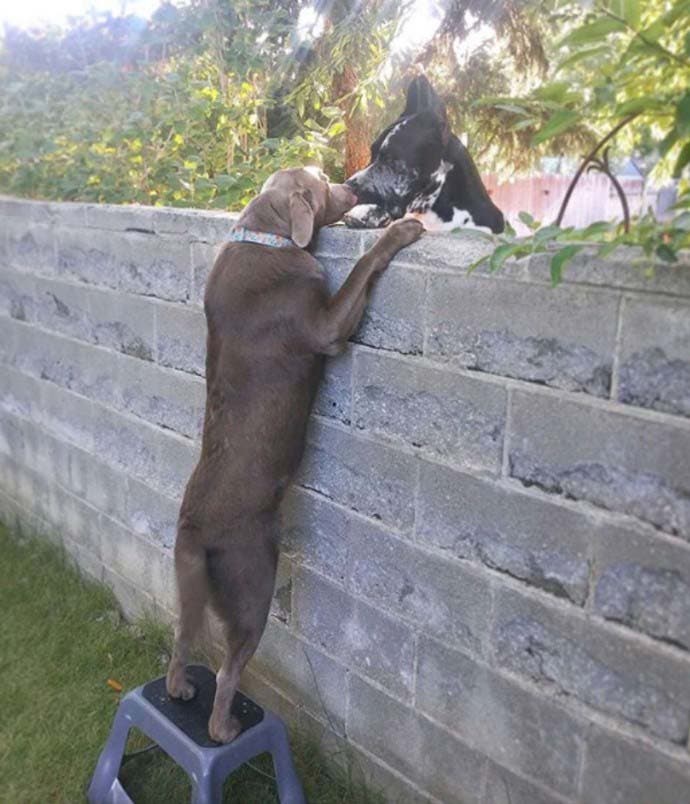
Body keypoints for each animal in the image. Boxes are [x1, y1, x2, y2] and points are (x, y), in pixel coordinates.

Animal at [166, 166, 422, 744]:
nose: (353, 186)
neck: (265, 232)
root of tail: (193, 528)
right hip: (253, 581)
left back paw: (180, 689)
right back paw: (223, 729)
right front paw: (400, 230)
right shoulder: (326, 326)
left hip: (191, 588)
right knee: (229, 667)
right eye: (324, 182)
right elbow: (363, 267)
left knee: (181, 638)